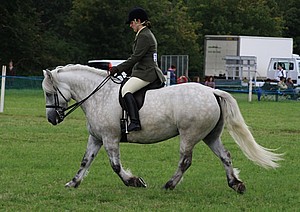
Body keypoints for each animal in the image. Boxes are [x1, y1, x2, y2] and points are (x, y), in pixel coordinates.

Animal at [42, 63, 284, 193]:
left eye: (48, 92)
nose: (52, 119)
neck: (98, 94)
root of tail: (212, 91)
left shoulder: (110, 138)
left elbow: (116, 166)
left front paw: (135, 181)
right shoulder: (97, 138)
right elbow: (85, 161)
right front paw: (73, 182)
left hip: (189, 135)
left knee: (185, 161)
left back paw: (169, 185)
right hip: (210, 136)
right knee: (225, 156)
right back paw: (235, 184)